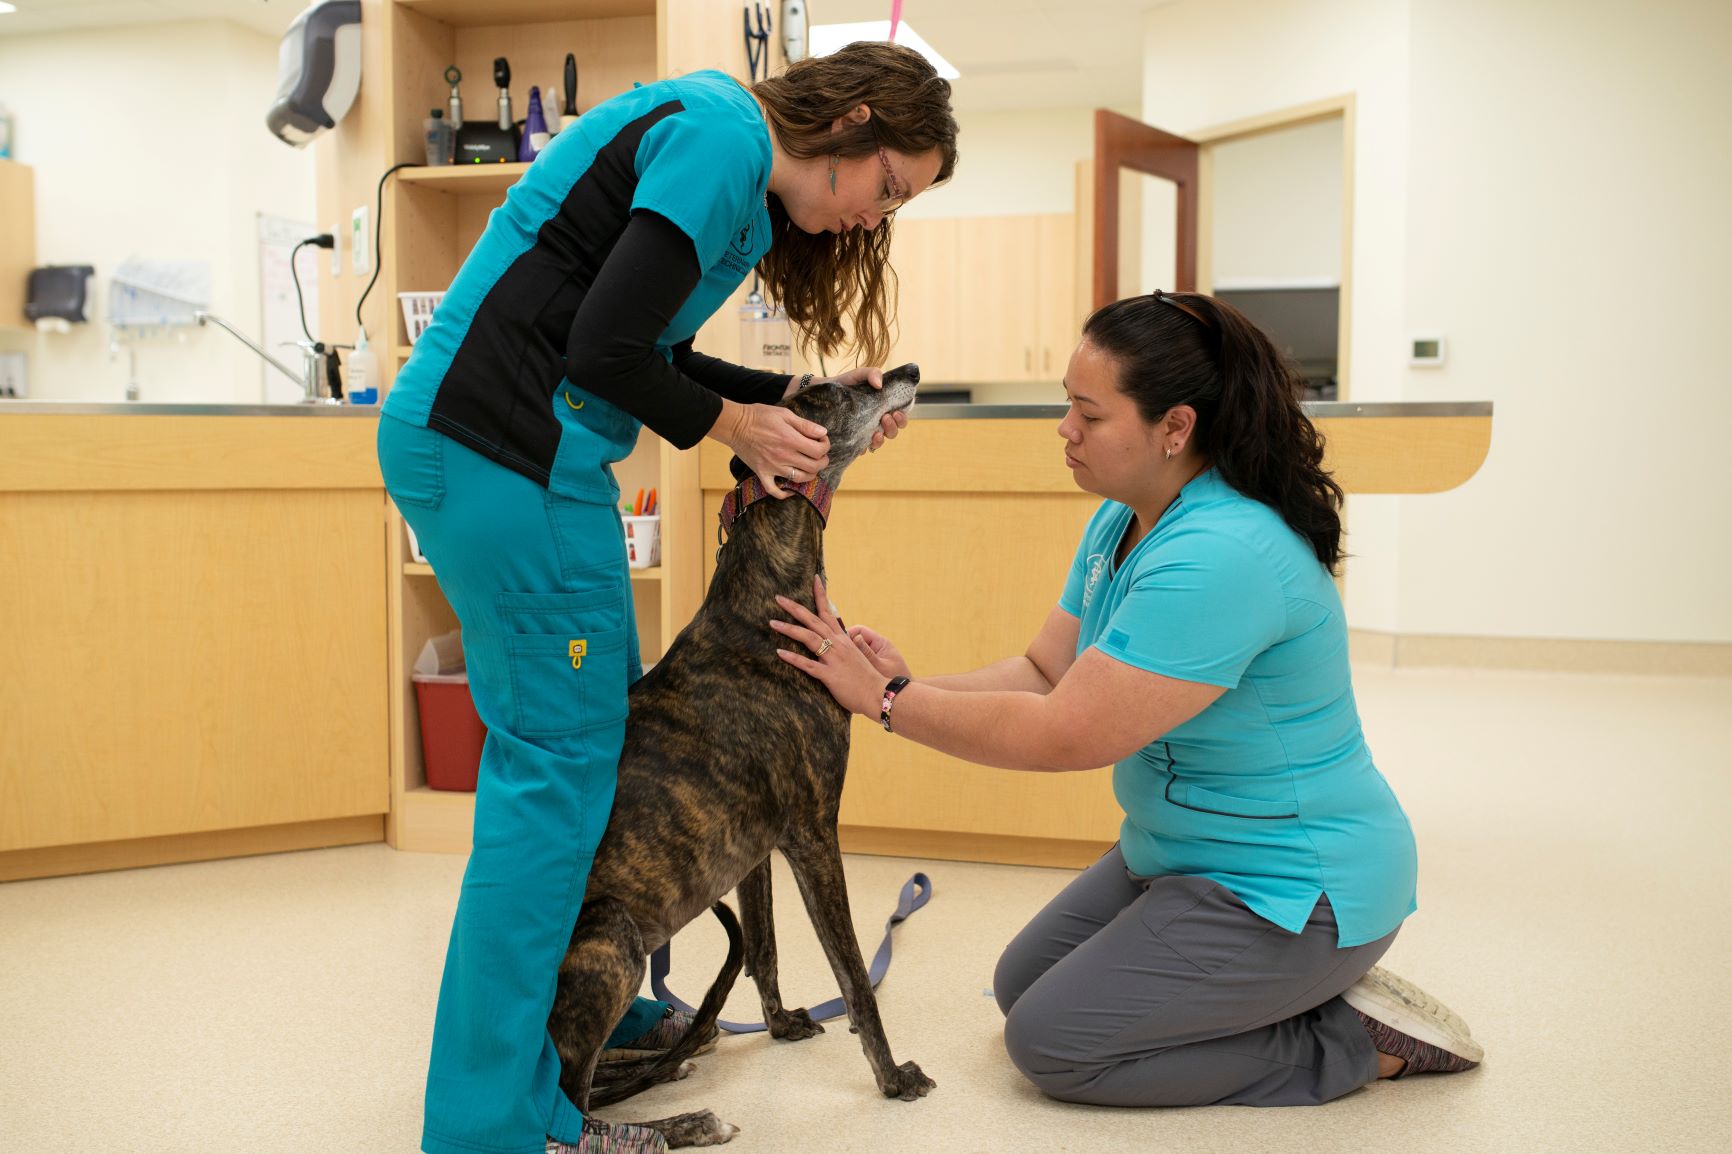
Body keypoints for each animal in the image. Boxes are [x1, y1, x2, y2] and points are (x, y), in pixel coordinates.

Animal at [550, 365, 935, 1143]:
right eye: (832, 394)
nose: (907, 372)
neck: (767, 607)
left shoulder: (757, 845)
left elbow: (764, 946)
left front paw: (782, 1025)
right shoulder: (814, 831)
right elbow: (855, 976)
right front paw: (892, 1077)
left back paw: (672, 1060)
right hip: (615, 942)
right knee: (569, 1114)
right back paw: (682, 1123)